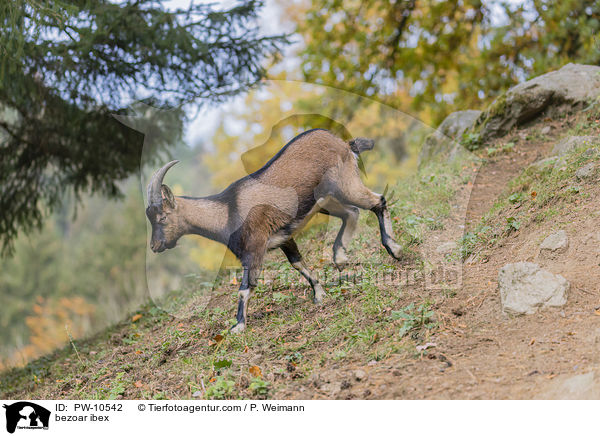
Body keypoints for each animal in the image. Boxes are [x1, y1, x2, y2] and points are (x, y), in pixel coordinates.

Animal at [145, 127, 400, 332]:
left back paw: (394, 249)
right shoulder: (284, 238)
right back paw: (340, 256)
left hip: (345, 185)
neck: (226, 212)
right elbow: (298, 263)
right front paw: (319, 294)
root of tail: (344, 144)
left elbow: (245, 287)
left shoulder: (254, 248)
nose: (155, 246)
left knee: (377, 201)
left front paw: (238, 326)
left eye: (163, 218)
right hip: (327, 202)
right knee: (352, 213)